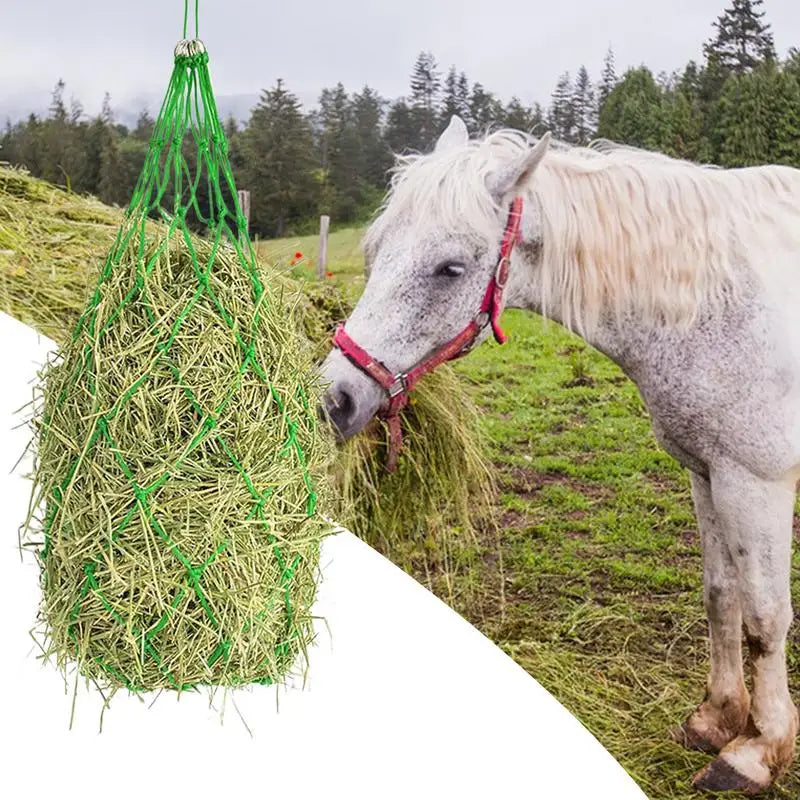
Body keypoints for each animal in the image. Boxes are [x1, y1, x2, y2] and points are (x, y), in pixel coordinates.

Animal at [320, 115, 800, 795]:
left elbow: (764, 616)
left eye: (449, 268)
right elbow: (720, 596)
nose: (335, 399)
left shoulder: (756, 480)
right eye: (374, 249)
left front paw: (757, 749)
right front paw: (716, 718)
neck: (720, 295)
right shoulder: (708, 473)